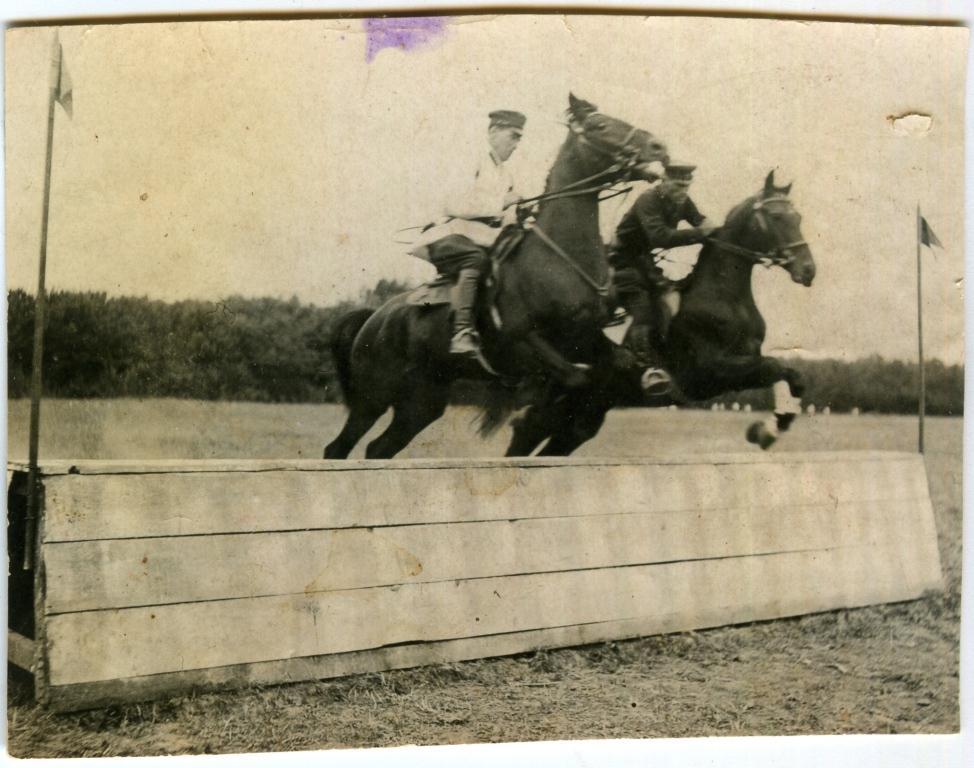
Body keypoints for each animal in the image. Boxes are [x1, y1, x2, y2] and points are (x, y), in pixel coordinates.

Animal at [326, 94, 672, 460]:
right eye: (600, 125)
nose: (658, 146)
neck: (557, 260)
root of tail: (373, 318)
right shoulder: (524, 342)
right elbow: (571, 382)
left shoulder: (585, 337)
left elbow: (615, 363)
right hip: (374, 396)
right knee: (338, 447)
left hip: (422, 402)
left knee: (378, 448)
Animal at [508, 170, 820, 456]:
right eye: (777, 217)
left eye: (799, 218)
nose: (808, 270)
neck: (724, 297)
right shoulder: (710, 371)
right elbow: (776, 367)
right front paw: (765, 430)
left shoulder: (739, 367)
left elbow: (791, 376)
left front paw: (770, 428)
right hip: (560, 397)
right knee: (526, 432)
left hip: (588, 410)